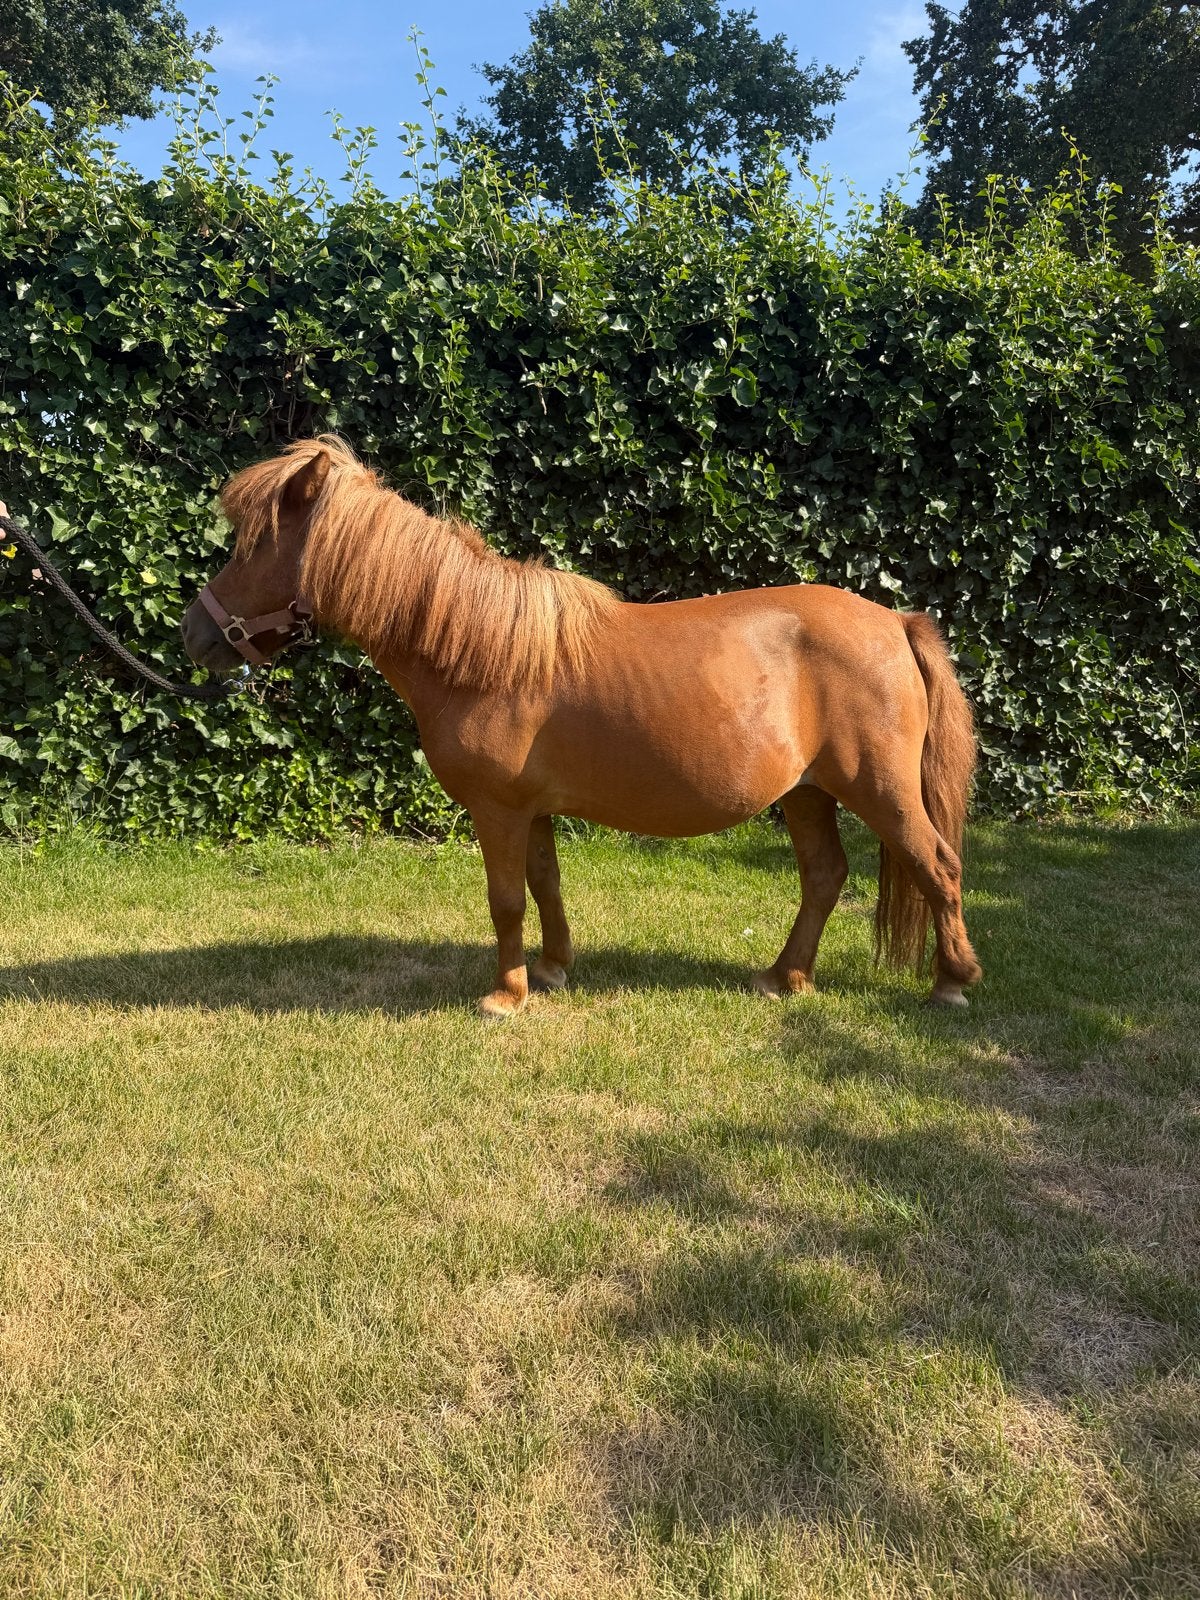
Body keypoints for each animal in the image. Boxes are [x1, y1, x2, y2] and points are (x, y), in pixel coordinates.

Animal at [182, 436, 982, 1017]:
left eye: (254, 545)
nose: (194, 633)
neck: (481, 651)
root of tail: (895, 621)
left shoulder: (497, 809)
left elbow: (506, 899)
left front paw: (504, 996)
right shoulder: (530, 809)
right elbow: (545, 884)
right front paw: (552, 969)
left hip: (878, 788)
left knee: (936, 865)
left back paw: (950, 981)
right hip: (808, 792)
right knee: (824, 876)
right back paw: (784, 977)